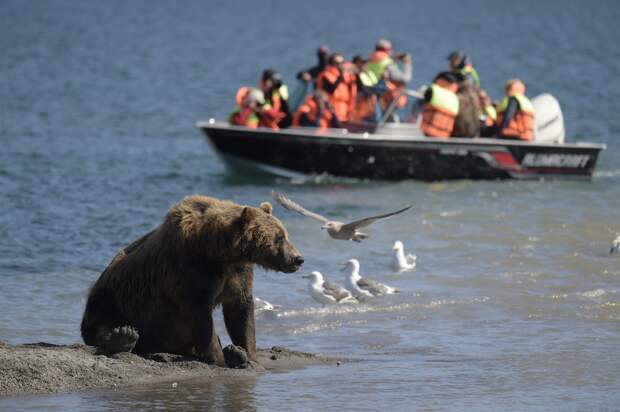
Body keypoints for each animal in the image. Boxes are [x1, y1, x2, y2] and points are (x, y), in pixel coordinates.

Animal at [81, 196, 304, 366]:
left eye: (284, 234)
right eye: (279, 237)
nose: (298, 258)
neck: (221, 252)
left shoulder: (238, 272)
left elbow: (240, 309)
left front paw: (247, 354)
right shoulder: (191, 270)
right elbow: (201, 315)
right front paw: (219, 357)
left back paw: (234, 353)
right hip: (111, 298)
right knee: (100, 323)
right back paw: (123, 337)